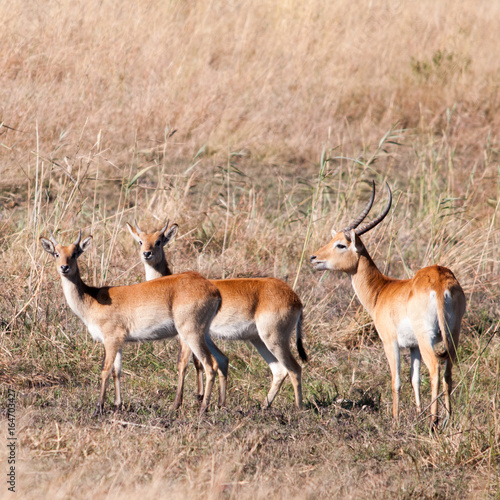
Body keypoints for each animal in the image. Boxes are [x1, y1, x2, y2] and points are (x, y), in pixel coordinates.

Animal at [41, 229, 223, 414]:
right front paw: (117, 405)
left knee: (209, 365)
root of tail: (214, 290)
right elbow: (117, 371)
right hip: (203, 334)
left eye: (75, 253)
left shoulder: (111, 339)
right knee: (220, 360)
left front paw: (99, 408)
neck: (92, 299)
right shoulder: (119, 342)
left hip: (191, 334)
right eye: (56, 253)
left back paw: (202, 408)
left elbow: (105, 370)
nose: (64, 267)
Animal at [127, 221, 306, 408]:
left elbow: (184, 364)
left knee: (295, 368)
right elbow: (202, 363)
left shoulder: (186, 337)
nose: (147, 254)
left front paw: (180, 403)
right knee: (279, 370)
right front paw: (203, 398)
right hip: (258, 340)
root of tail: (295, 298)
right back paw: (264, 406)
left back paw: (298, 409)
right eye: (140, 241)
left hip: (274, 339)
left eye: (159, 241)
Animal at [310, 182, 466, 428]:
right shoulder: (412, 347)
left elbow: (396, 380)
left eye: (341, 244)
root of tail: (440, 281)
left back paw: (434, 421)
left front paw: (395, 419)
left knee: (435, 368)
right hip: (453, 334)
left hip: (427, 337)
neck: (382, 291)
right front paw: (417, 413)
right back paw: (448, 418)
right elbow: (414, 379)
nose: (314, 258)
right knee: (448, 370)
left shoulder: (390, 342)